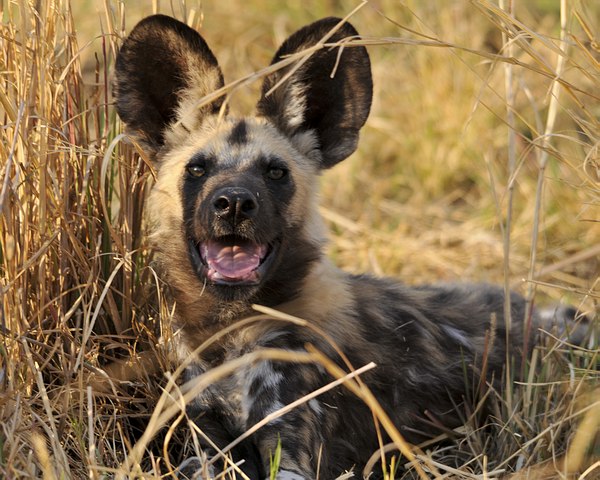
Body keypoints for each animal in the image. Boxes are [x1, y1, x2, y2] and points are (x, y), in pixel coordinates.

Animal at [112, 13, 584, 478]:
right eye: (197, 169)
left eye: (275, 172)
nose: (234, 203)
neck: (231, 333)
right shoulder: (204, 435)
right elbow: (197, 461)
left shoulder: (293, 452)